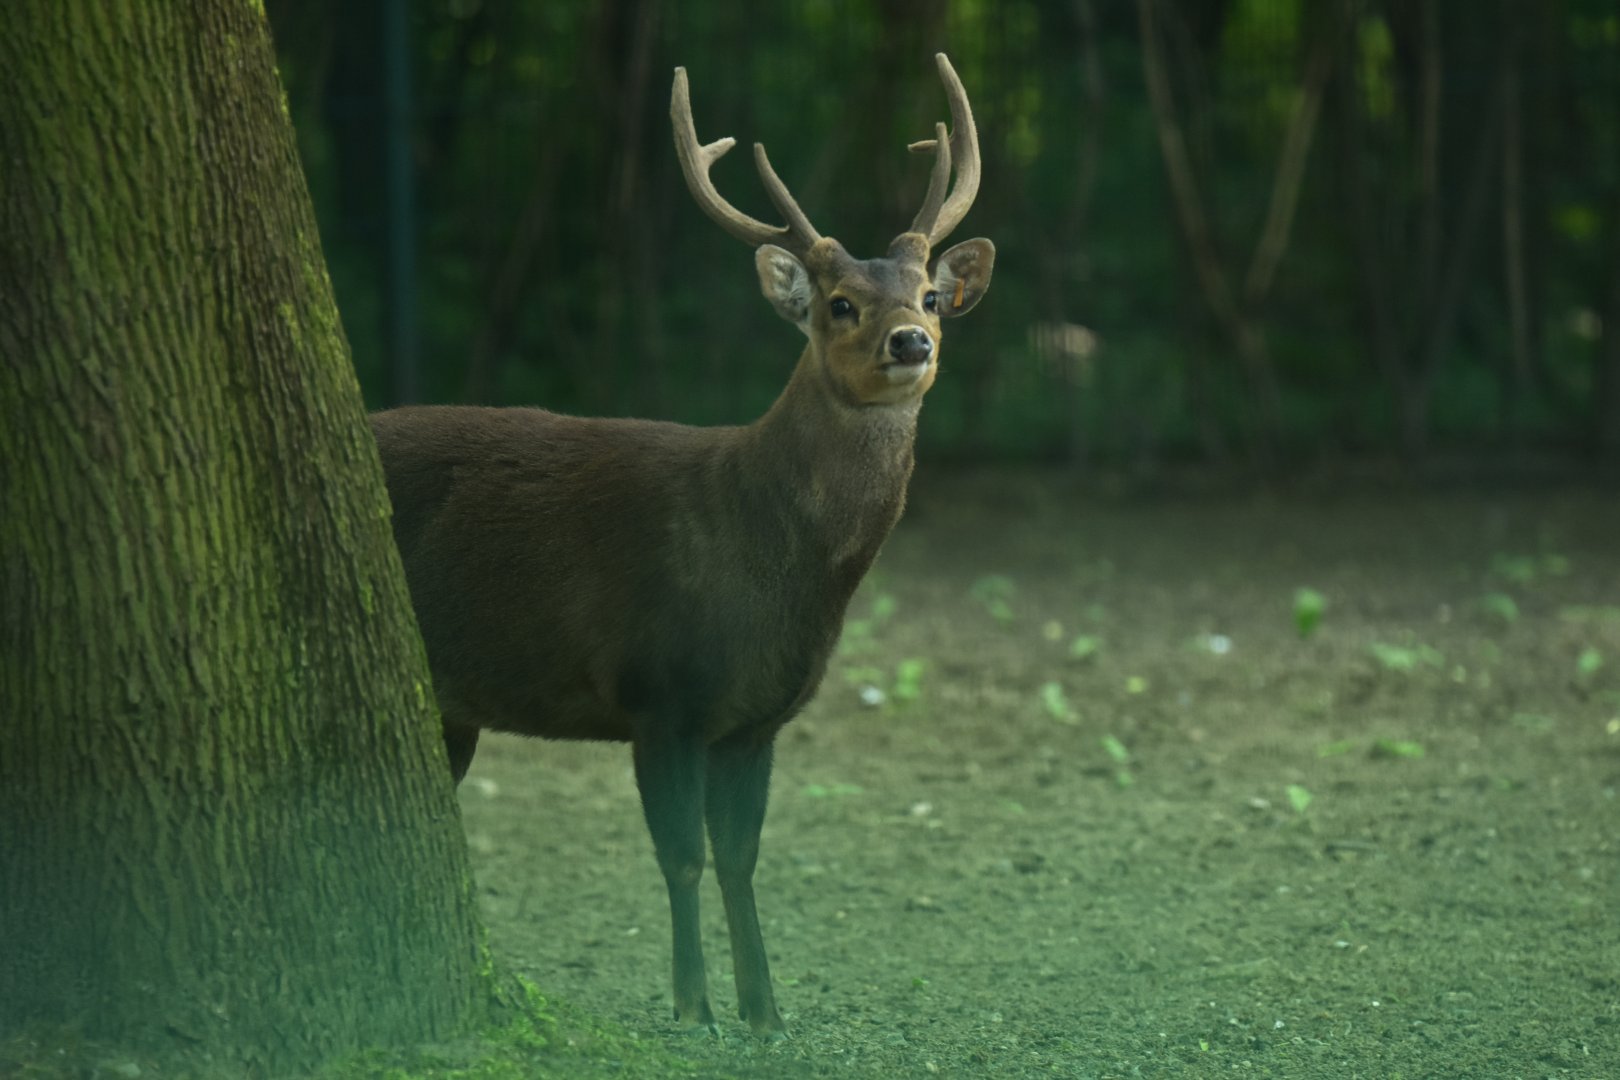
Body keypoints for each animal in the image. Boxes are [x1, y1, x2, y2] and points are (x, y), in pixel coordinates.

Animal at [368, 53, 993, 1039]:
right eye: (839, 304)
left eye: (931, 294)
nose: (911, 341)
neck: (767, 561)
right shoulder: (657, 691)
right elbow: (683, 857)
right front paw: (694, 1003)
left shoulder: (757, 720)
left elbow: (740, 858)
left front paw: (766, 1009)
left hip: (451, 704)